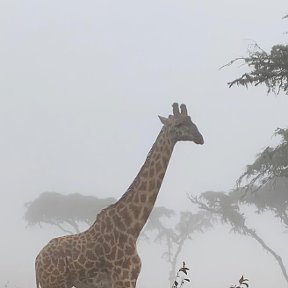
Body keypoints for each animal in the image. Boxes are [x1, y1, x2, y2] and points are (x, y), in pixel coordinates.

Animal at [35, 102, 204, 286]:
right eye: (179, 124)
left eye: (191, 120)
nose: (200, 137)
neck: (131, 228)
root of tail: (37, 261)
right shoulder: (124, 278)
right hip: (55, 283)